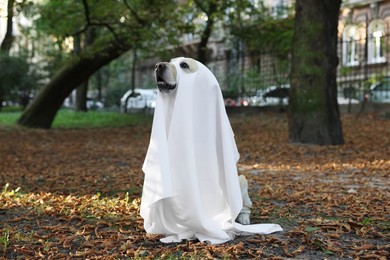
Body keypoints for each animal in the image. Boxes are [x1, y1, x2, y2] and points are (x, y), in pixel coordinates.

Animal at [142, 57, 282, 244]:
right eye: (170, 61)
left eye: (184, 65)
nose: (158, 66)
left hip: (241, 180)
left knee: (245, 207)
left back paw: (242, 220)